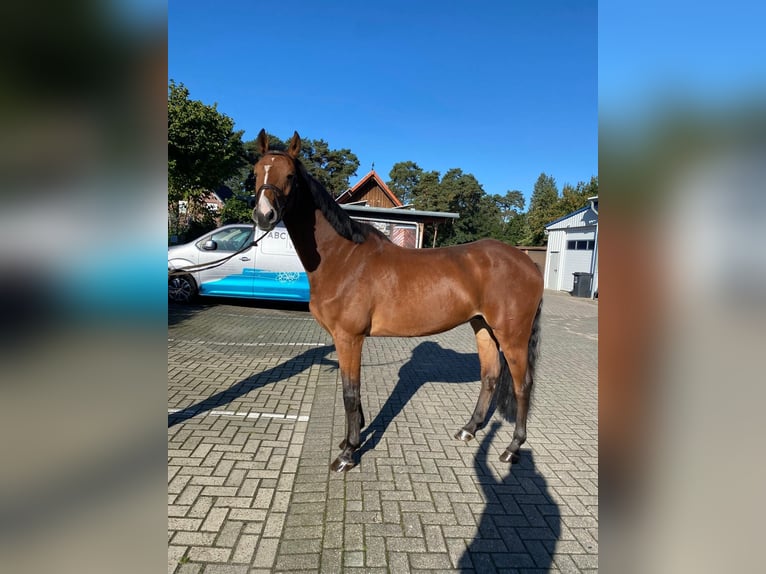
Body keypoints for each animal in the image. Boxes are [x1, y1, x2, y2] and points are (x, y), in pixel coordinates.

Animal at [252, 133, 544, 474]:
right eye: (256, 172)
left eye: (289, 176)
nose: (264, 215)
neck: (343, 258)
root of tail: (527, 262)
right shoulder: (345, 340)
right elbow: (351, 389)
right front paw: (351, 438)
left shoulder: (349, 337)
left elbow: (350, 392)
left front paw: (348, 453)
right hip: (483, 327)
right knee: (491, 377)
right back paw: (469, 429)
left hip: (512, 336)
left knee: (523, 384)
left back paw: (512, 448)